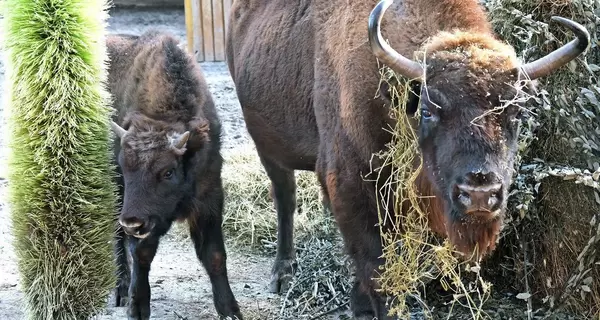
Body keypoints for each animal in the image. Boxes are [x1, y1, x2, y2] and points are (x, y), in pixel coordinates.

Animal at [106, 30, 244, 320]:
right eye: (125, 167)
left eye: (168, 171)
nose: (133, 223)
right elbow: (142, 253)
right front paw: (137, 308)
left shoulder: (209, 198)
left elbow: (215, 255)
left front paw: (230, 310)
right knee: (118, 237)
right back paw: (121, 290)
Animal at [226, 0, 592, 318]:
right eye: (428, 110)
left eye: (515, 113)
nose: (479, 193)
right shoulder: (350, 184)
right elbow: (377, 265)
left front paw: (358, 303)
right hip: (267, 149)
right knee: (285, 198)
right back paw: (282, 275)